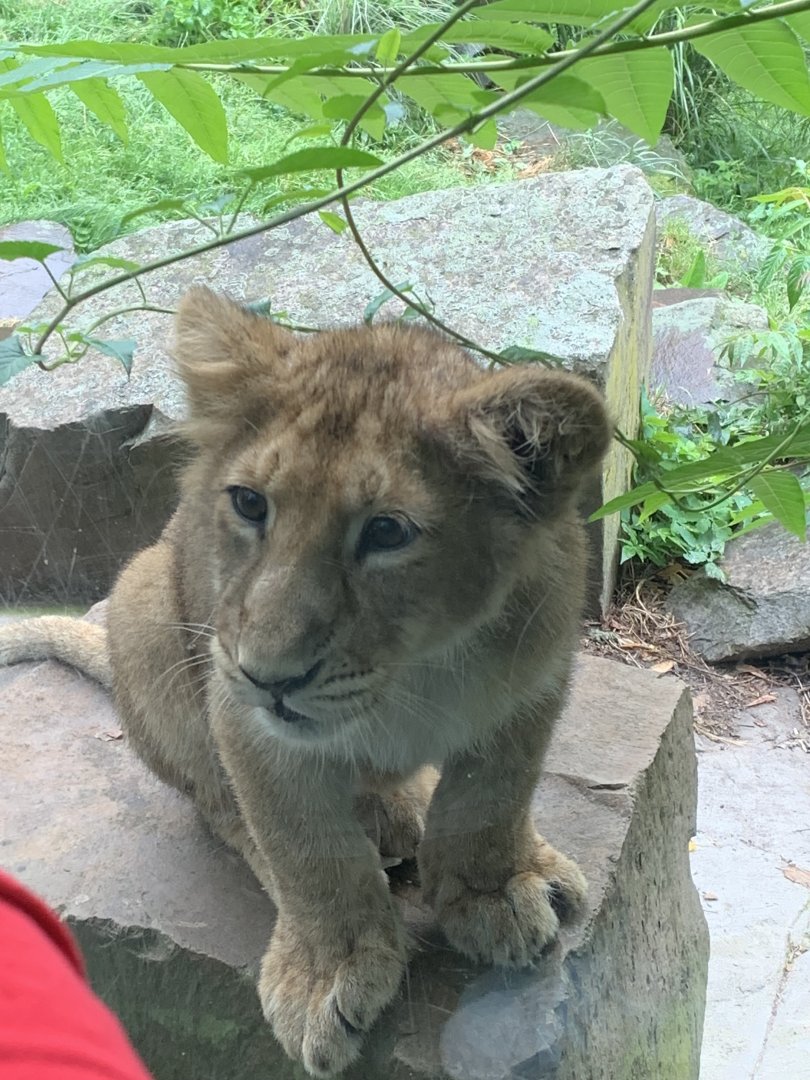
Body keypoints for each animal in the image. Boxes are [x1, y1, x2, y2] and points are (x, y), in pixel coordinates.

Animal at [0, 288, 611, 1077]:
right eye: (250, 503)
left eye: (387, 532)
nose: (269, 677)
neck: (416, 668)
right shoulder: (241, 713)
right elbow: (307, 849)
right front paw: (328, 972)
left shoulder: (537, 681)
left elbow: (492, 797)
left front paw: (492, 890)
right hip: (140, 598)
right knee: (220, 810)